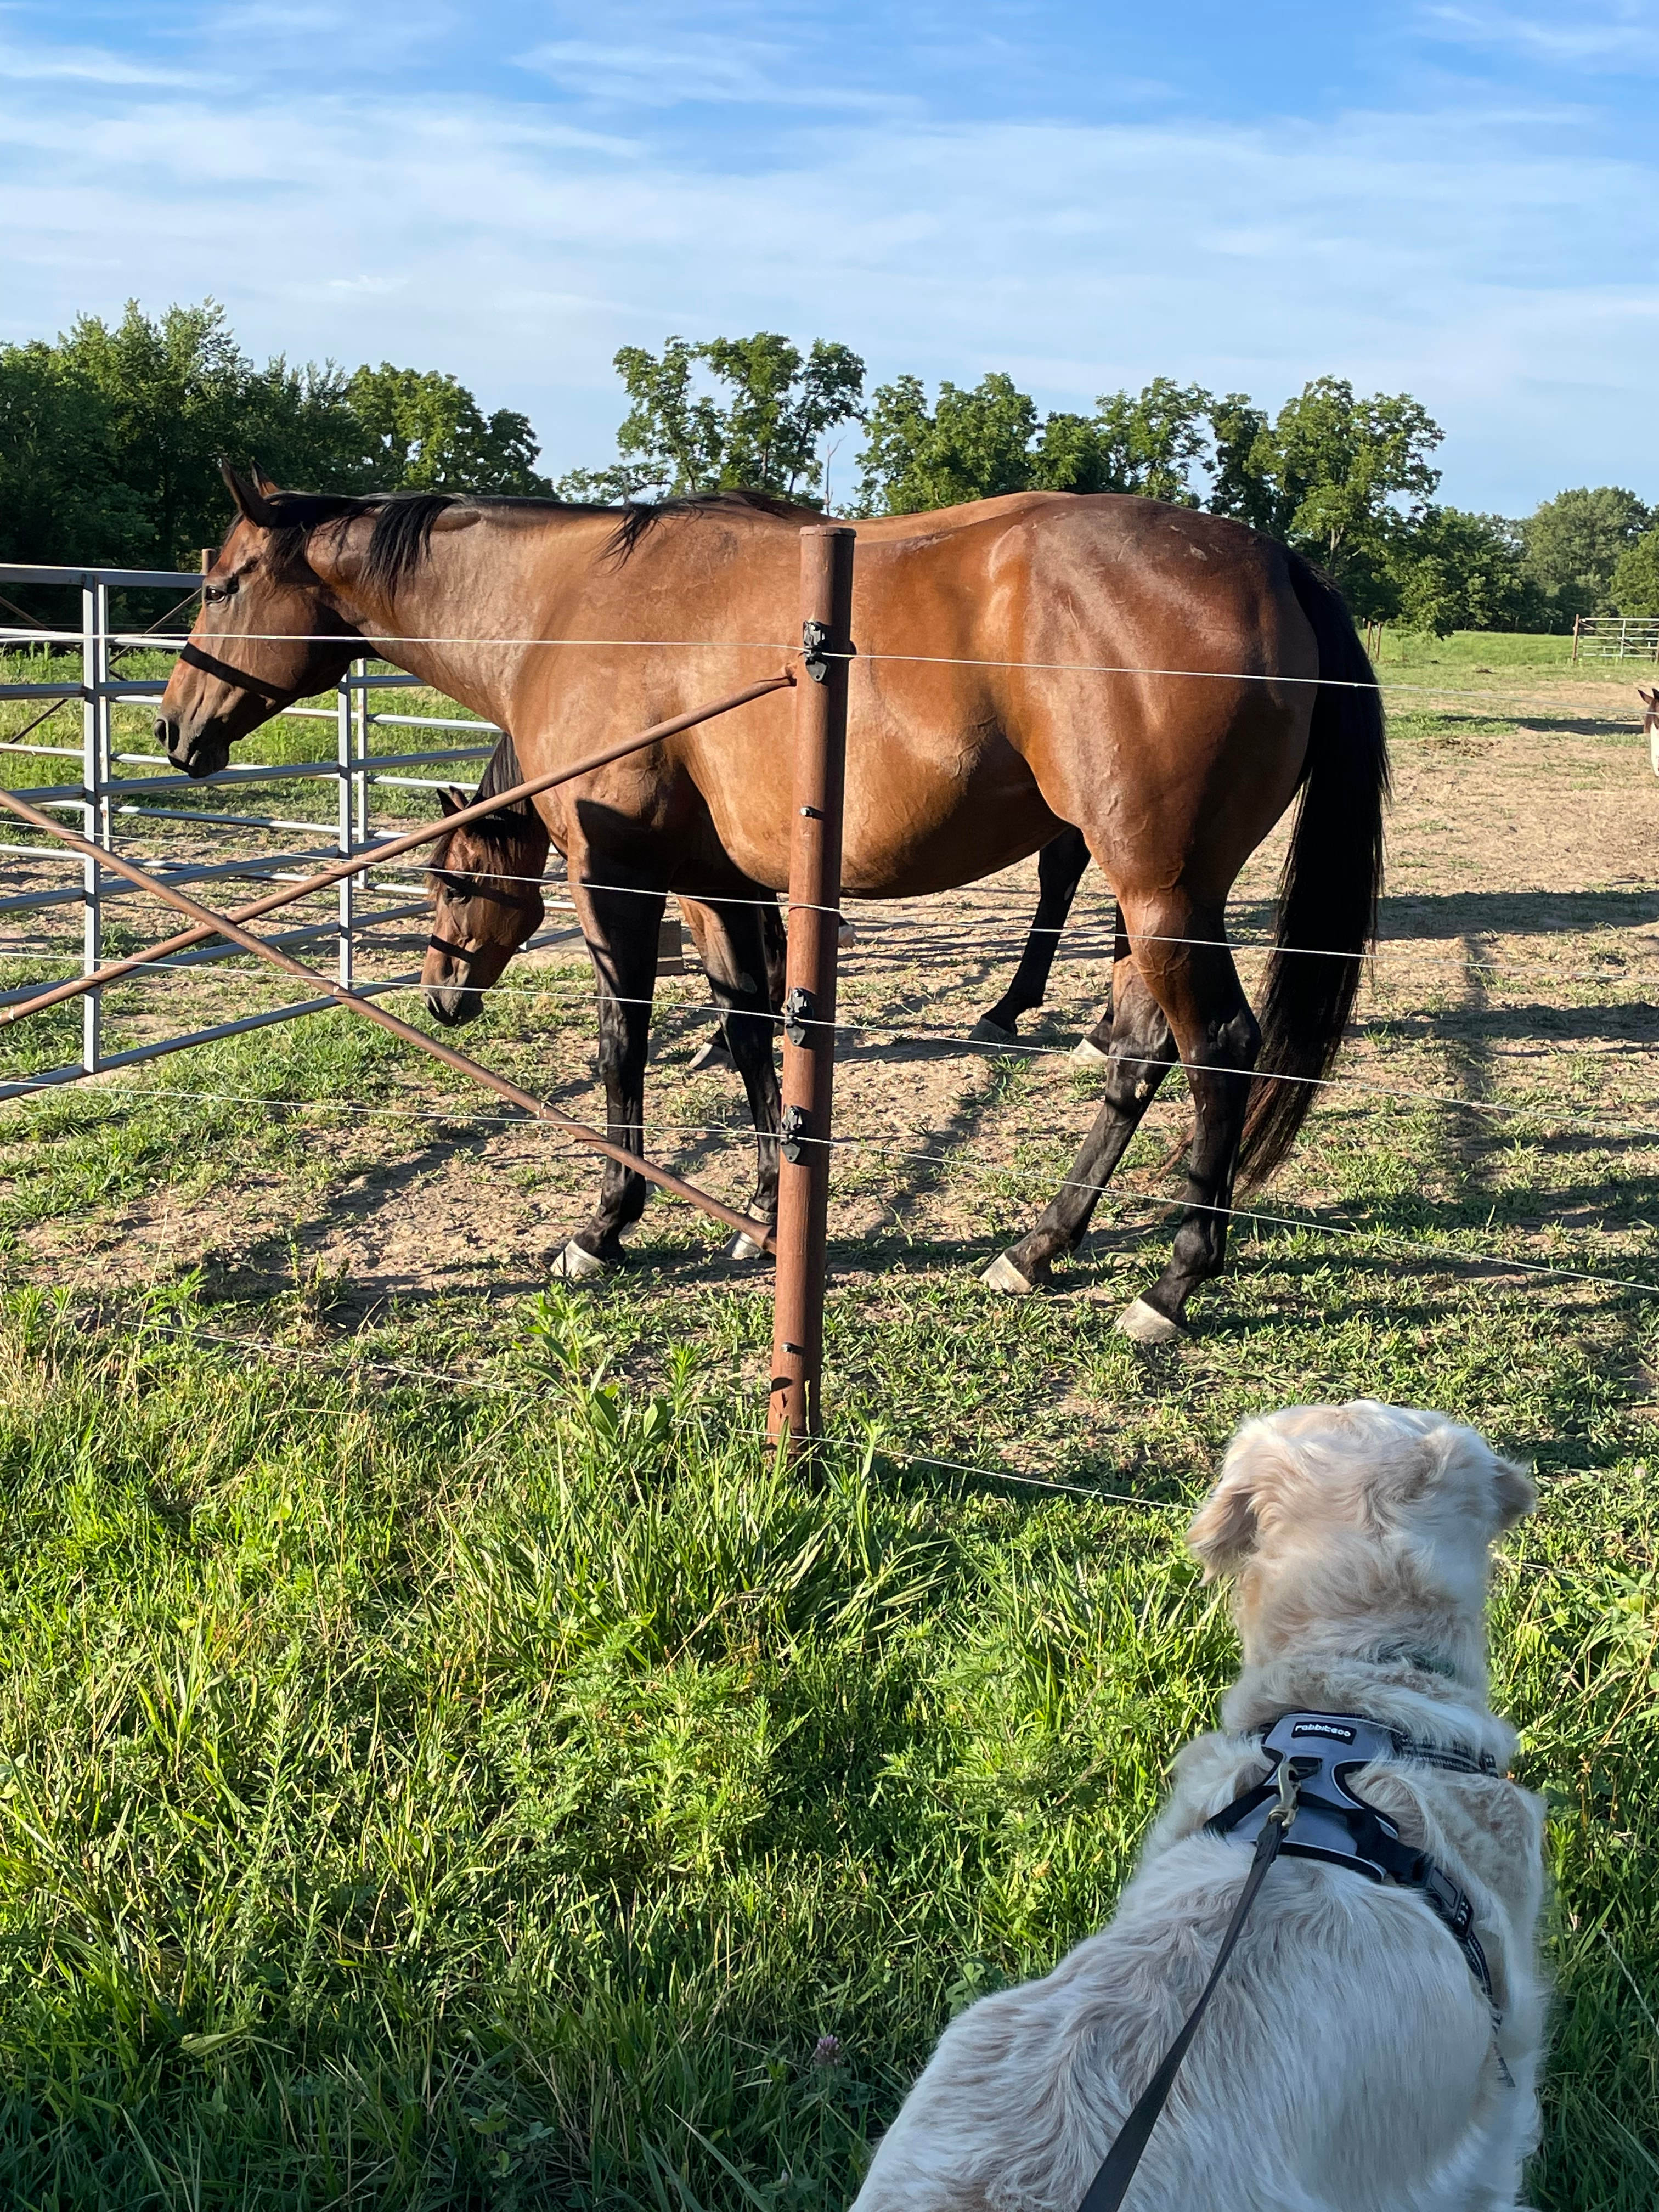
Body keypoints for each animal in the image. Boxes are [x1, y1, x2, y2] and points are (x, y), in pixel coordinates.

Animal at [157, 464, 1387, 1341]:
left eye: (221, 586)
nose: (173, 729)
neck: (570, 604)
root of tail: (1275, 565)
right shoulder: (719, 884)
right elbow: (749, 1032)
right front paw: (759, 1216)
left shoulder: (620, 879)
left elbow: (624, 1045)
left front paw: (604, 1227)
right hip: (1156, 902)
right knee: (1137, 1055)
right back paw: (1040, 1246)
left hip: (1161, 892)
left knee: (1219, 1047)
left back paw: (1172, 1287)